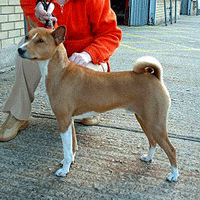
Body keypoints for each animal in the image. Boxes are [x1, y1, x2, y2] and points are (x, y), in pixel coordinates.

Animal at [17, 19, 179, 181]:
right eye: (27, 37)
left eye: (40, 41)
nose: (20, 50)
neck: (61, 72)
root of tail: (154, 77)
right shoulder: (69, 120)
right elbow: (73, 146)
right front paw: (70, 162)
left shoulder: (63, 120)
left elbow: (67, 149)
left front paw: (64, 170)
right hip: (144, 120)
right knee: (152, 141)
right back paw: (148, 158)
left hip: (155, 123)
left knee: (171, 149)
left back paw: (173, 175)